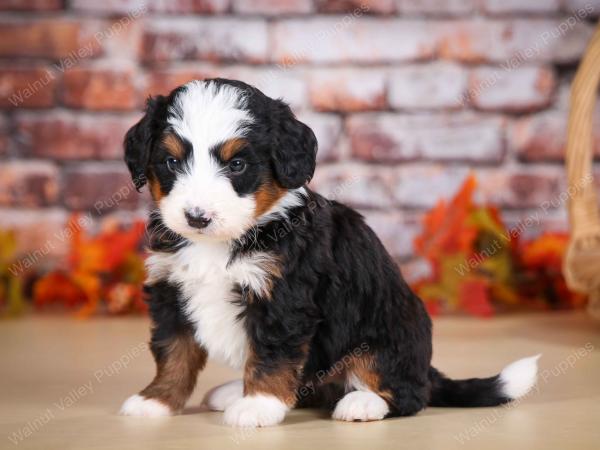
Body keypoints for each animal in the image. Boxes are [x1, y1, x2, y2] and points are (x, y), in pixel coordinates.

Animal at [117, 79, 540, 428]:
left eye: (237, 164)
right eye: (172, 162)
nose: (196, 217)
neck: (226, 239)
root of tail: (425, 369)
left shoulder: (284, 299)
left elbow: (271, 355)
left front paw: (258, 406)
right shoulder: (171, 289)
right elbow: (174, 352)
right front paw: (157, 400)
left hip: (383, 336)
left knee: (406, 394)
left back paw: (361, 403)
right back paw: (235, 391)